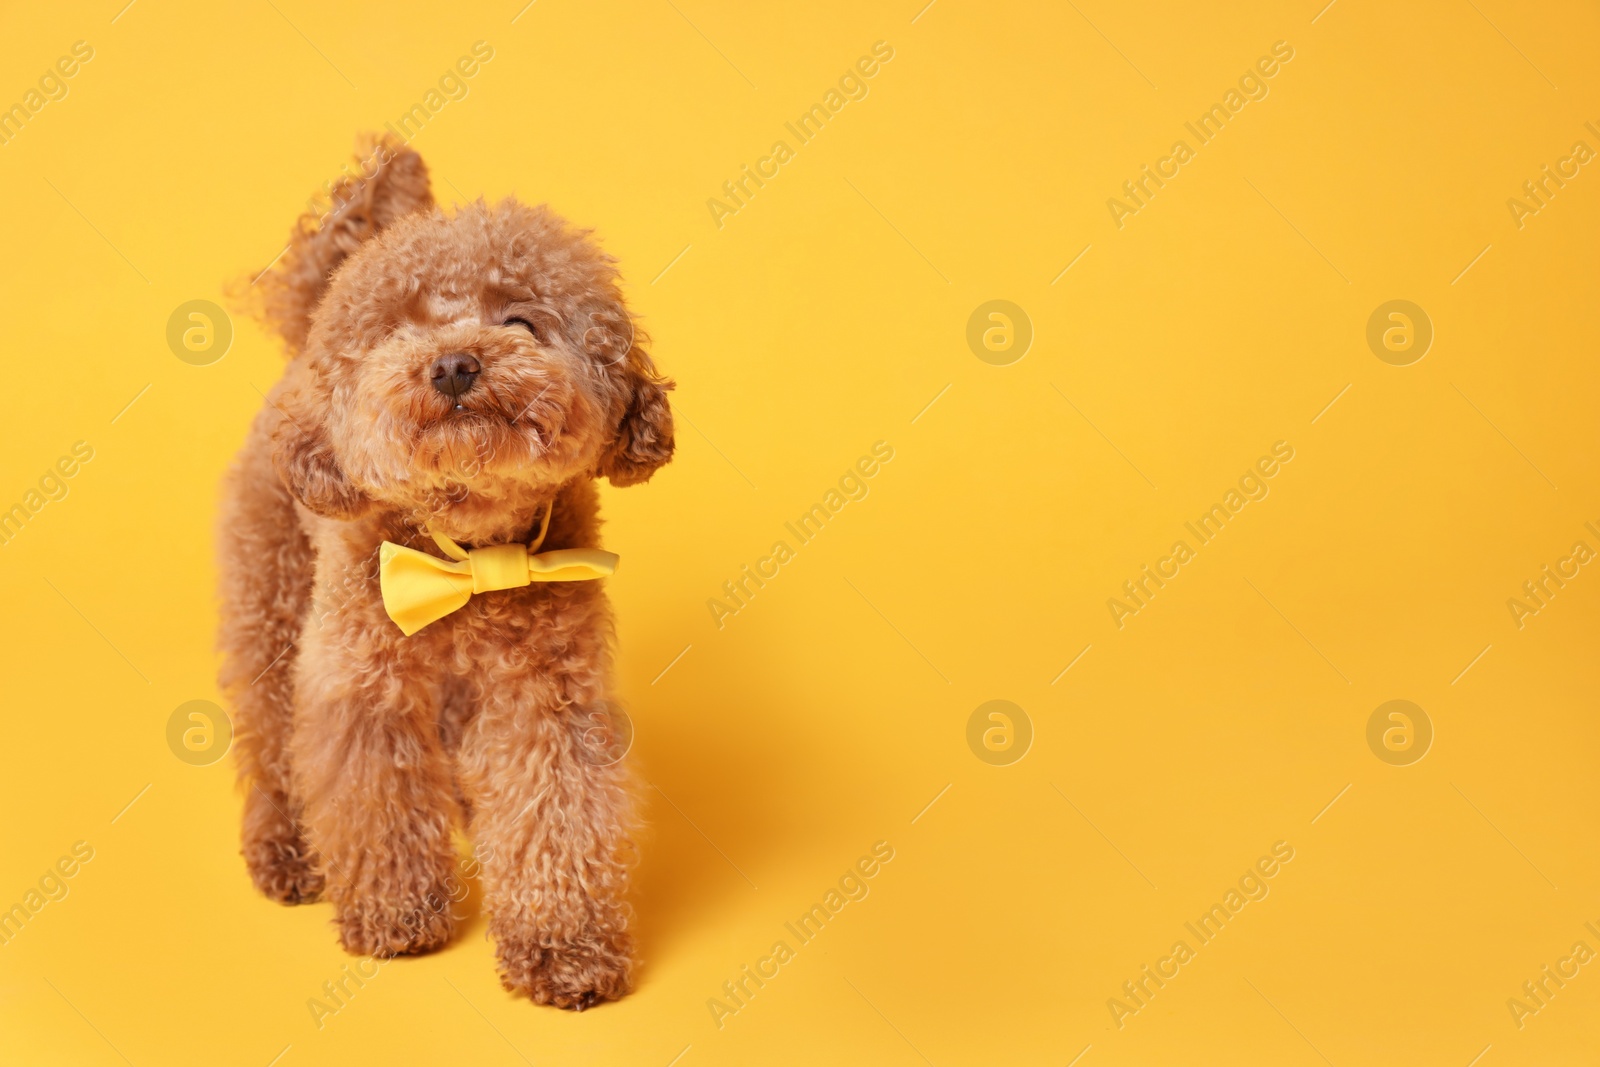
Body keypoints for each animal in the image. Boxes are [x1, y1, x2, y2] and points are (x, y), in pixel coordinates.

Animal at [211, 133, 668, 1011]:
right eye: (398, 332)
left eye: (521, 319)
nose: (455, 363)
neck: (469, 555)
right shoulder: (364, 690)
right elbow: (374, 797)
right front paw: (396, 915)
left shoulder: (544, 701)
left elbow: (554, 814)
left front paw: (564, 949)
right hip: (271, 600)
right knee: (272, 732)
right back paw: (287, 849)